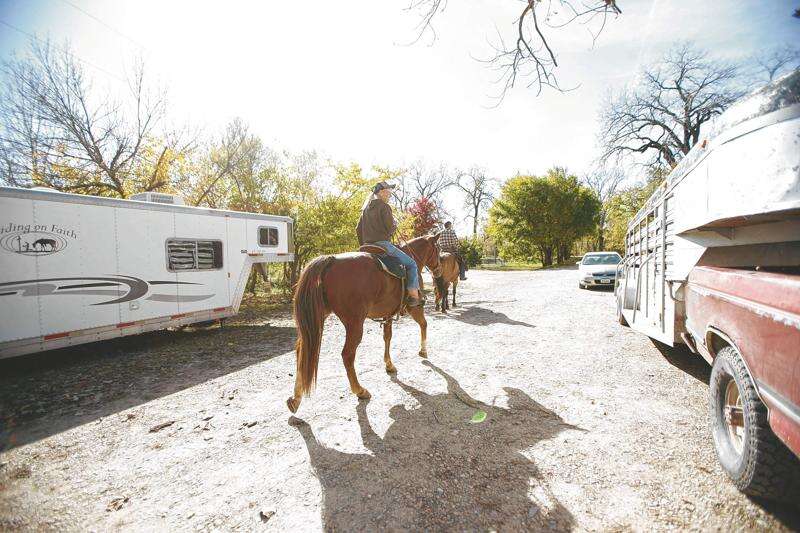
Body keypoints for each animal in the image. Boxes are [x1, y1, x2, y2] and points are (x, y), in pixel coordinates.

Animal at [286, 235, 444, 414]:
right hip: (355, 324)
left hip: (317, 318)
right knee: (347, 355)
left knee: (302, 351)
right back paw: (360, 390)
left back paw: (296, 398)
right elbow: (424, 324)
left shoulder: (388, 314)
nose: (439, 270)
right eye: (438, 248)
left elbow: (387, 337)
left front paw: (389, 364)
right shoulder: (415, 307)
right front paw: (423, 351)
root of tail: (332, 260)